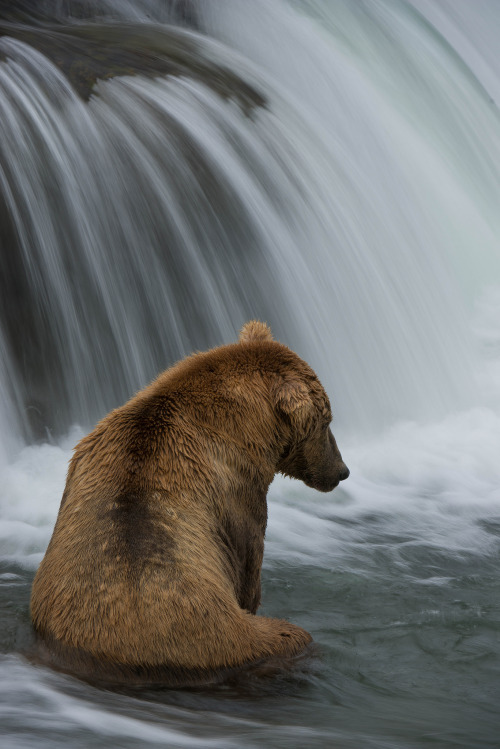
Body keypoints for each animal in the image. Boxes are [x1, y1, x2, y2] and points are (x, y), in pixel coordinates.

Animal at [30, 322, 348, 684]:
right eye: (327, 422)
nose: (342, 470)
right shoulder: (238, 496)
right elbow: (249, 566)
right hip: (237, 638)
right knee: (292, 635)